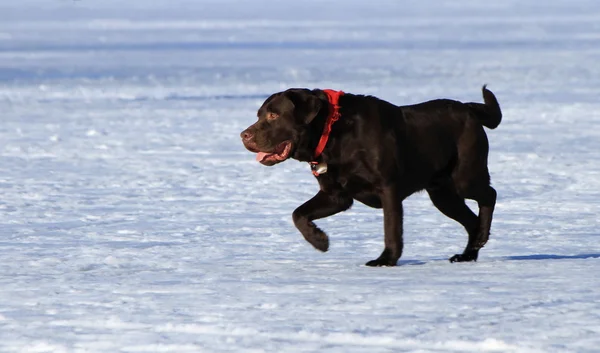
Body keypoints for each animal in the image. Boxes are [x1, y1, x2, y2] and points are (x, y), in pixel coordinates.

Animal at [240, 86, 502, 266]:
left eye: (273, 115)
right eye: (259, 114)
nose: (244, 135)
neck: (332, 132)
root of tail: (469, 108)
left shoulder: (388, 189)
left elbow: (392, 229)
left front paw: (386, 260)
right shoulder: (335, 195)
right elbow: (298, 214)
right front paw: (320, 241)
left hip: (464, 177)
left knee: (489, 195)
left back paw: (479, 238)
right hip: (442, 194)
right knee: (471, 220)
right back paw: (469, 253)